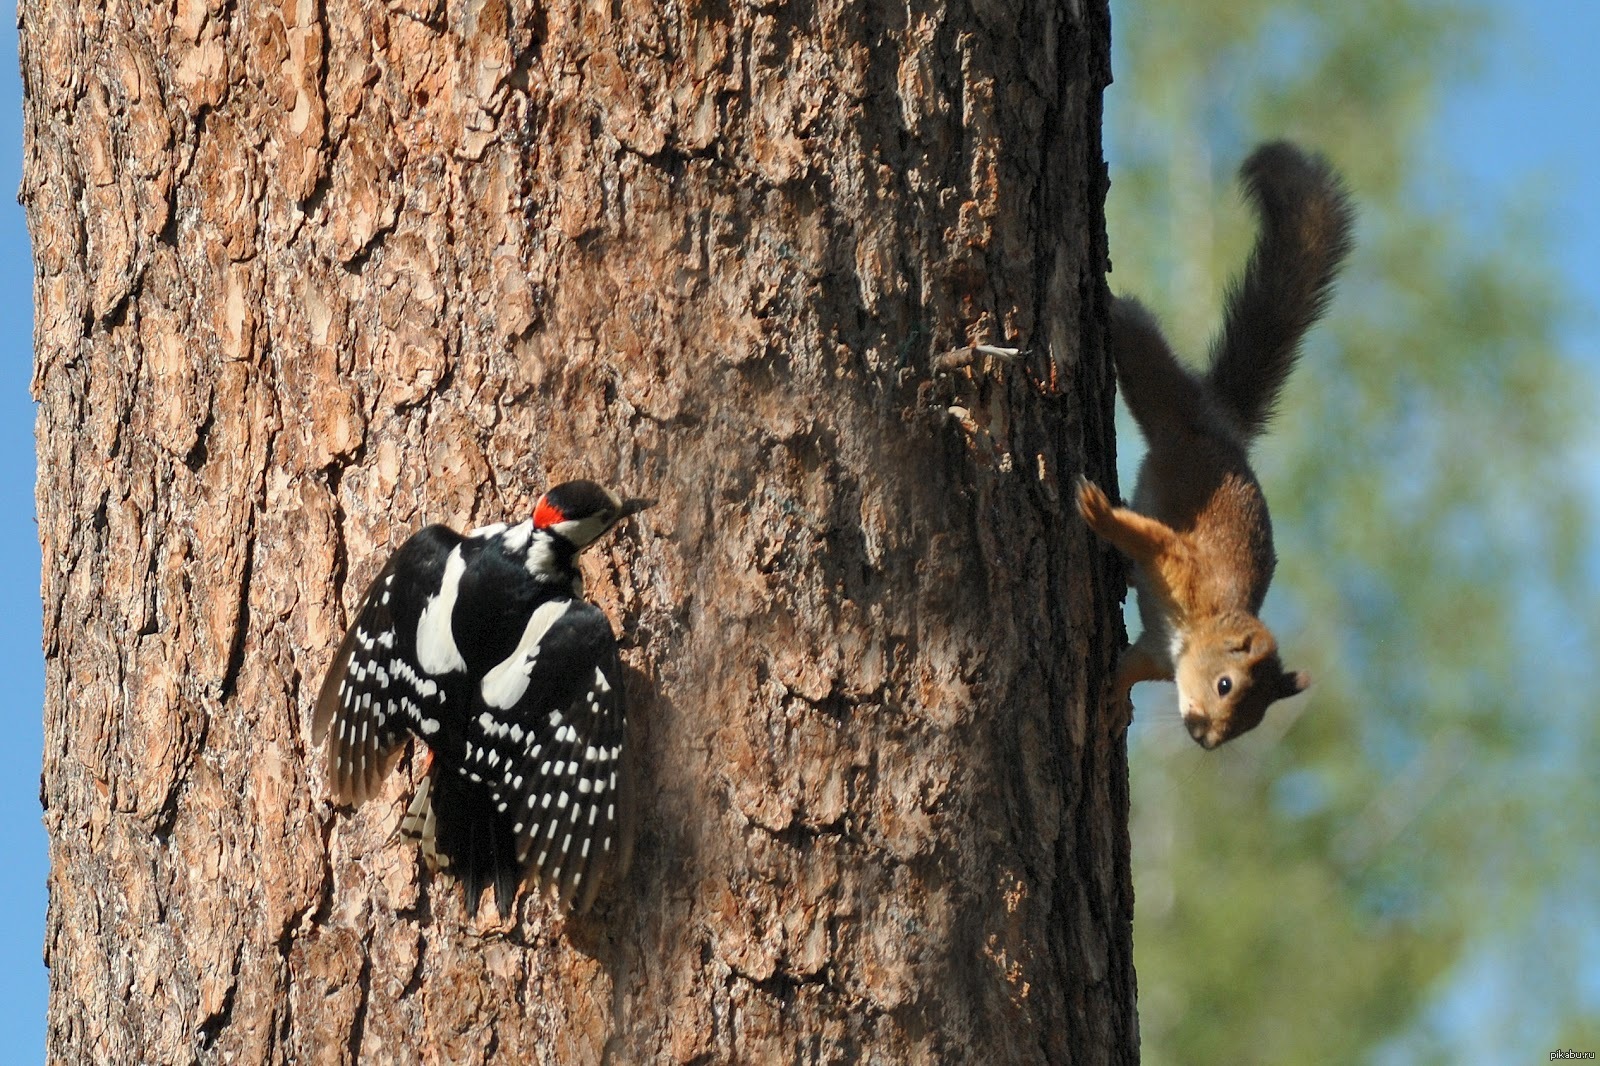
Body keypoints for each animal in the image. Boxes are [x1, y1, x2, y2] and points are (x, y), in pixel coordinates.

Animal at [1075, 140, 1350, 745]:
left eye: (1251, 723)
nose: (1206, 737)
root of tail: (1219, 425)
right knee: (1138, 336)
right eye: (1226, 684)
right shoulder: (1181, 563)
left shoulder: (1155, 653)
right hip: (1164, 399)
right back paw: (1111, 300)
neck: (1195, 632)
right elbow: (1147, 536)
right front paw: (1100, 511)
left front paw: (1112, 703)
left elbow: (1128, 668)